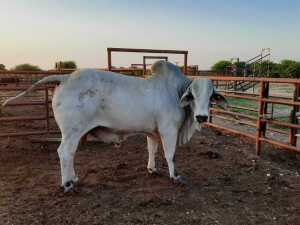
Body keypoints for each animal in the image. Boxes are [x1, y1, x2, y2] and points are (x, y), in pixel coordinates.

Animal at [2, 61, 226, 192]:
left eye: (211, 96)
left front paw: (152, 169)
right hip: (72, 131)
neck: (175, 92)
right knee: (65, 153)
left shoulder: (153, 132)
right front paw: (175, 176)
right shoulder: (168, 130)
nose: (202, 117)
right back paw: (67, 184)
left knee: (70, 154)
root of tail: (66, 77)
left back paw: (73, 178)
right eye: (193, 95)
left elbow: (152, 151)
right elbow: (170, 155)